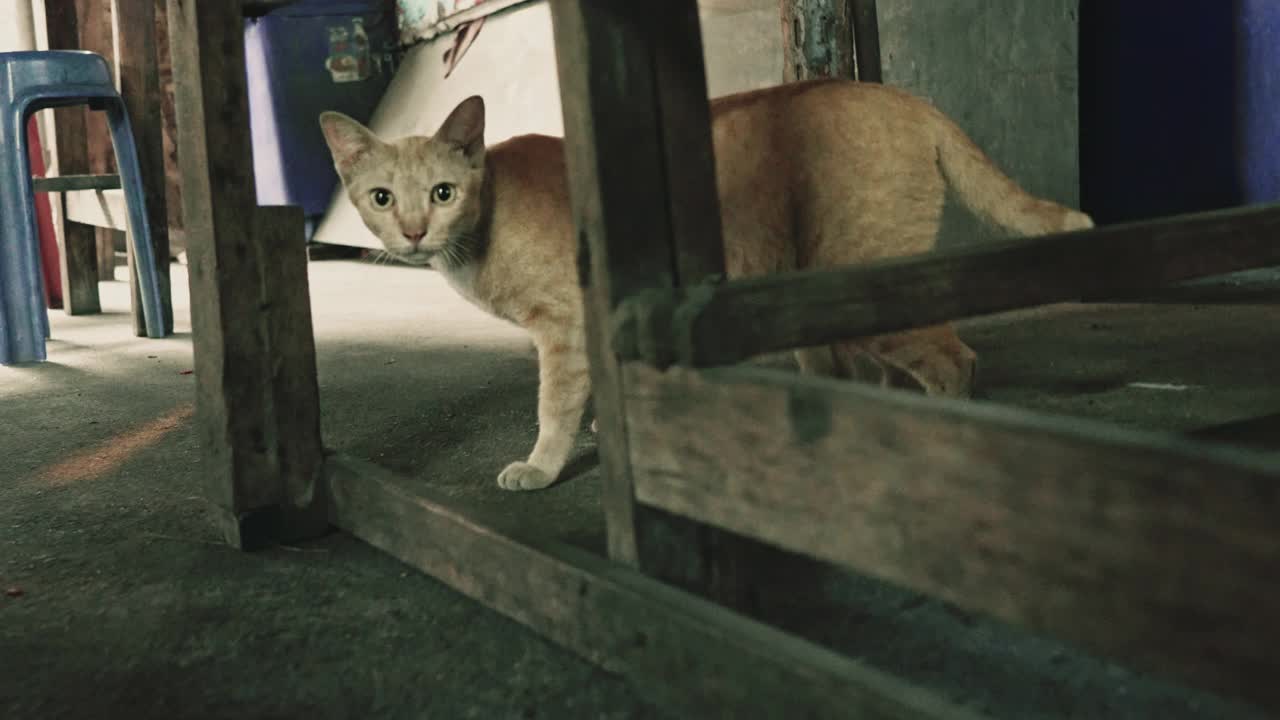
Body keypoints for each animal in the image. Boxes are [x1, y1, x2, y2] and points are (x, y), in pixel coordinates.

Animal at [317, 79, 1090, 491]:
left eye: (443, 192)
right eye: (382, 198)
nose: (414, 231)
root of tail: (900, 94)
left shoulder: (562, 329)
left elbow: (552, 408)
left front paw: (540, 465)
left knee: (955, 362)